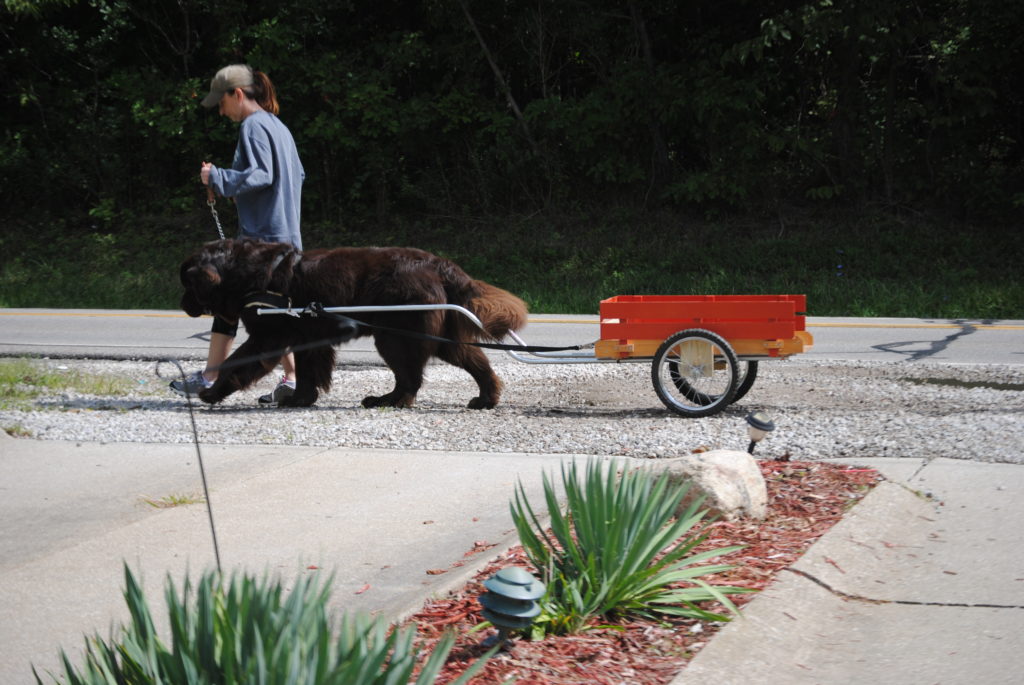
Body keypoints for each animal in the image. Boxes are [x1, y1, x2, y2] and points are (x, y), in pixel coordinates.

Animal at [180, 236, 528, 405]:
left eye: (187, 284)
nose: (182, 305)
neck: (243, 274)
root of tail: (439, 263)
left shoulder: (268, 337)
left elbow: (237, 361)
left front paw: (211, 393)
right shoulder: (308, 337)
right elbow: (308, 370)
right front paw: (299, 400)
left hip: (396, 334)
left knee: (409, 376)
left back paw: (388, 401)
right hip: (436, 332)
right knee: (473, 360)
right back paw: (486, 399)